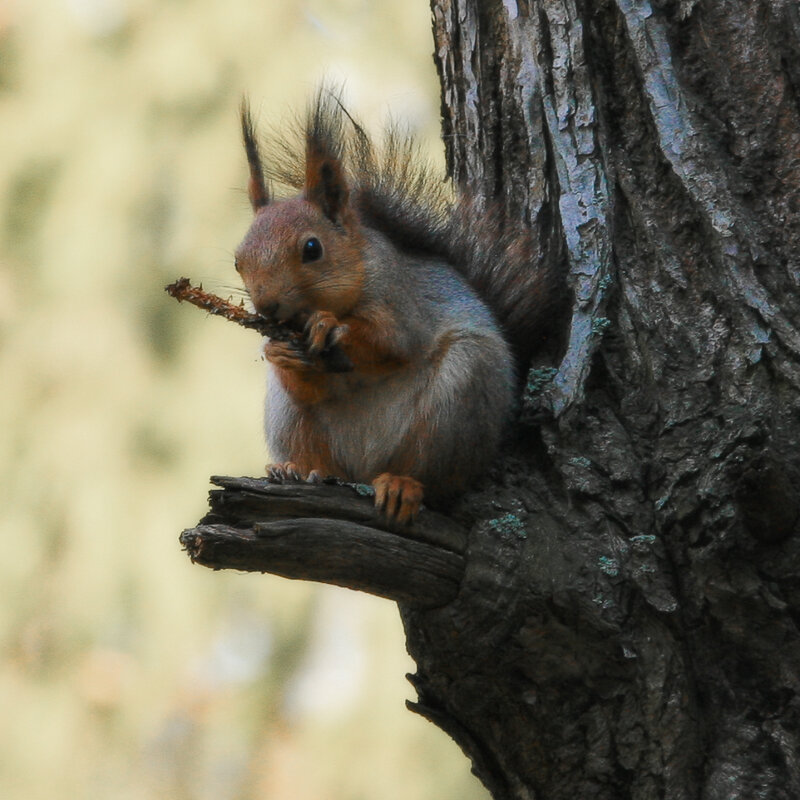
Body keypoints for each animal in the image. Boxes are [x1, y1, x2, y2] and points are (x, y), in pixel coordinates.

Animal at [233, 89, 559, 524]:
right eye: (238, 261)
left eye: (312, 248)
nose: (267, 307)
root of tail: (366, 468)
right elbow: (312, 386)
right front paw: (278, 351)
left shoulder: (401, 297)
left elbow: (392, 342)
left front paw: (330, 325)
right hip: (290, 419)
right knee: (322, 459)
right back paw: (298, 469)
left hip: (461, 394)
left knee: (430, 474)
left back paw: (402, 485)